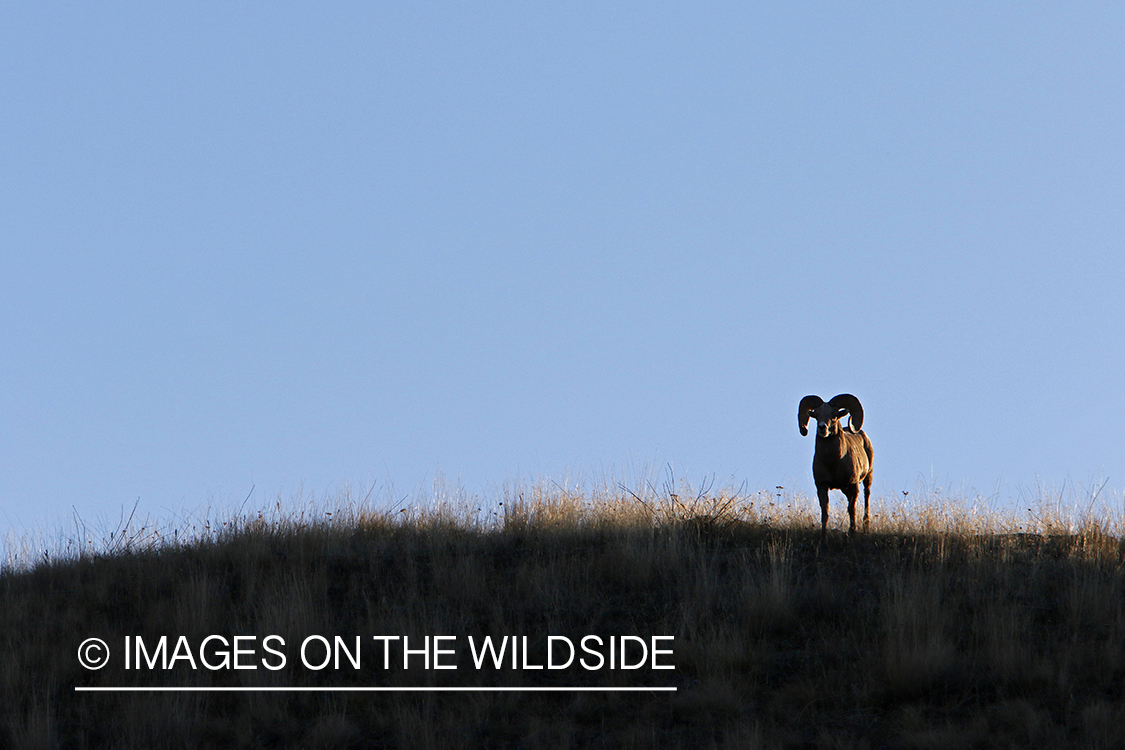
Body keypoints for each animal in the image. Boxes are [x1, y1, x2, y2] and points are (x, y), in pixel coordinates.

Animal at [796, 393, 873, 539]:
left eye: (834, 415)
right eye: (816, 415)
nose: (822, 428)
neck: (833, 462)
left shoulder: (853, 484)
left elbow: (852, 509)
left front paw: (852, 533)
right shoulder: (822, 486)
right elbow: (825, 512)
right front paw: (823, 537)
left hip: (867, 477)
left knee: (867, 496)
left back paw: (866, 526)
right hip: (844, 488)